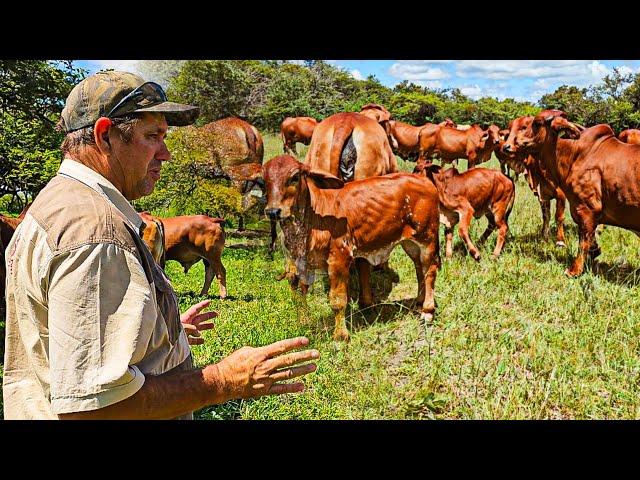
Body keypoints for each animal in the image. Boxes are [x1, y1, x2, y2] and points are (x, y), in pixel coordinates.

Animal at [262, 155, 440, 342]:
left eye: (295, 177)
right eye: (264, 180)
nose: (273, 211)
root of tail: (424, 180)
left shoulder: (339, 259)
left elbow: (337, 300)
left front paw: (341, 335)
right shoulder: (301, 264)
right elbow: (300, 294)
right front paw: (304, 322)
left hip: (427, 238)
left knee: (430, 270)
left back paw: (427, 311)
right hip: (410, 243)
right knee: (419, 269)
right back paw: (419, 302)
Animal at [504, 107, 640, 276]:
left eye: (536, 123)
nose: (508, 146)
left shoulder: (585, 208)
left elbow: (583, 238)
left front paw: (574, 269)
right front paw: (594, 250)